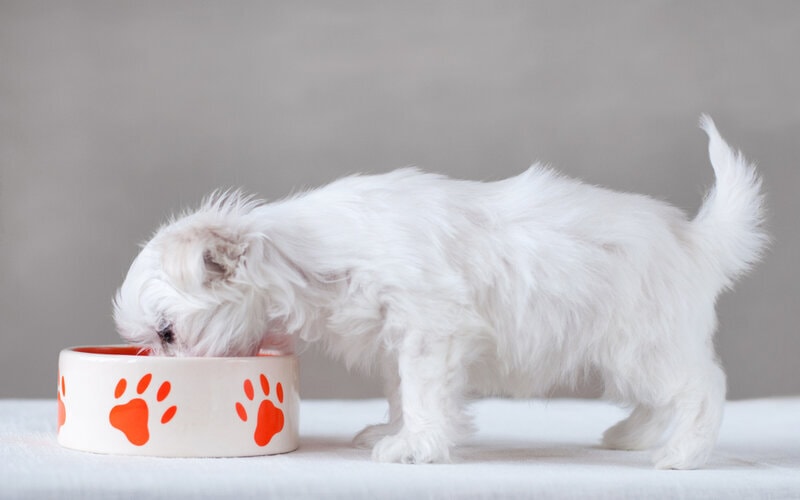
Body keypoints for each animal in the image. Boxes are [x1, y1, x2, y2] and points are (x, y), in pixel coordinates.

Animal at [114, 117, 768, 468]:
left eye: (167, 333)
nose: (159, 362)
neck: (306, 255)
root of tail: (695, 240)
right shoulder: (395, 337)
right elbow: (402, 390)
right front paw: (395, 431)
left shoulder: (430, 326)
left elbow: (424, 391)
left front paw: (414, 446)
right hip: (632, 351)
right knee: (662, 397)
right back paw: (634, 437)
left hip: (643, 342)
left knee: (702, 387)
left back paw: (683, 454)